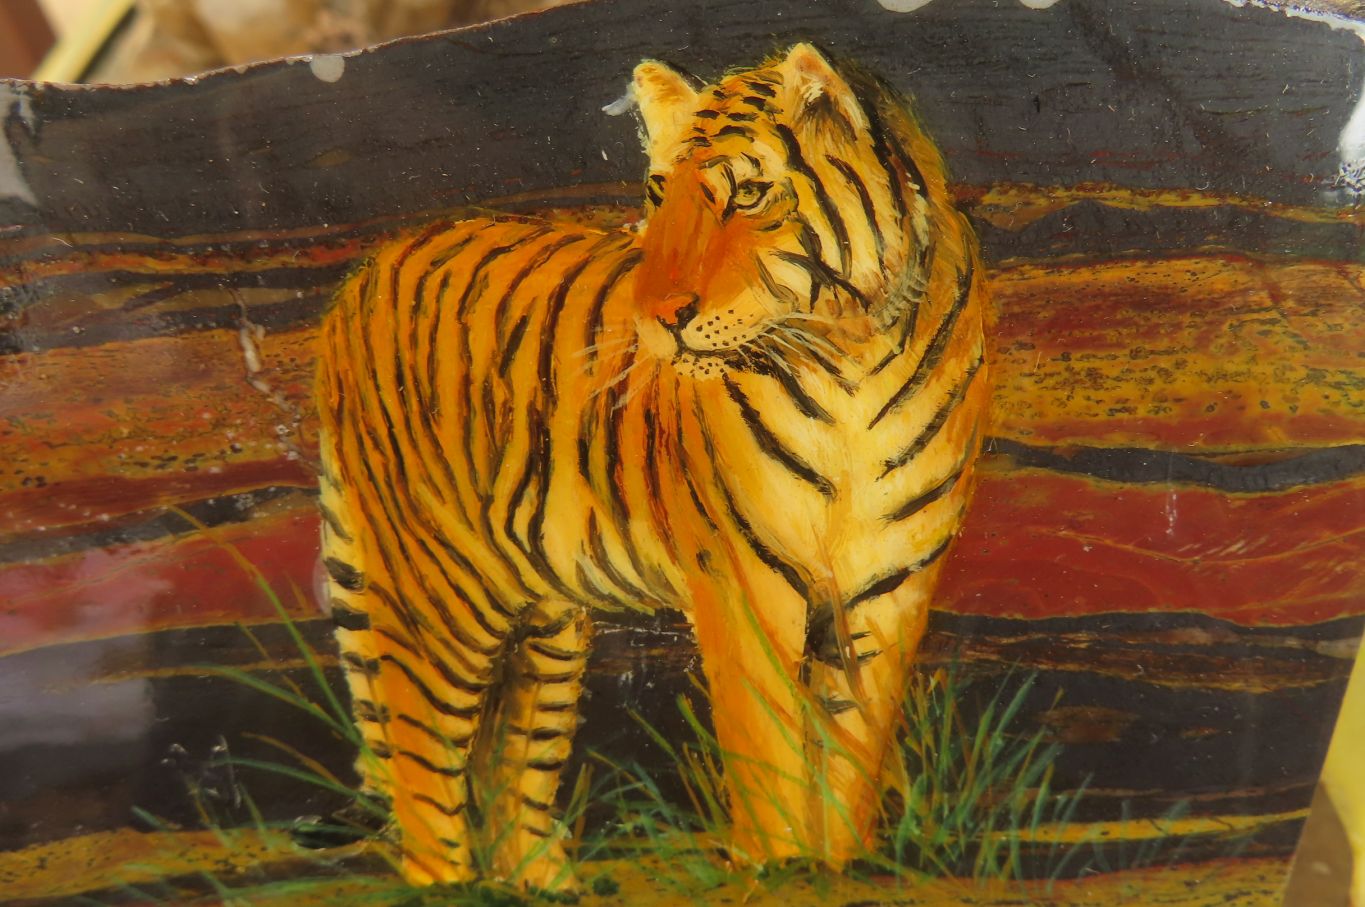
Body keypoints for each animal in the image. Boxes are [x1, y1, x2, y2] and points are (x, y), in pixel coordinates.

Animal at [315, 43, 989, 892]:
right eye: (658, 192)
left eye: (748, 193)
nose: (654, 316)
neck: (851, 357)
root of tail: (365, 275)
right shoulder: (745, 579)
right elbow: (765, 746)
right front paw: (774, 870)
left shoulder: (890, 584)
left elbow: (851, 754)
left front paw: (835, 869)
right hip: (437, 589)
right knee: (421, 758)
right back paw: (447, 885)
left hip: (544, 619)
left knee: (512, 763)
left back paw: (544, 885)